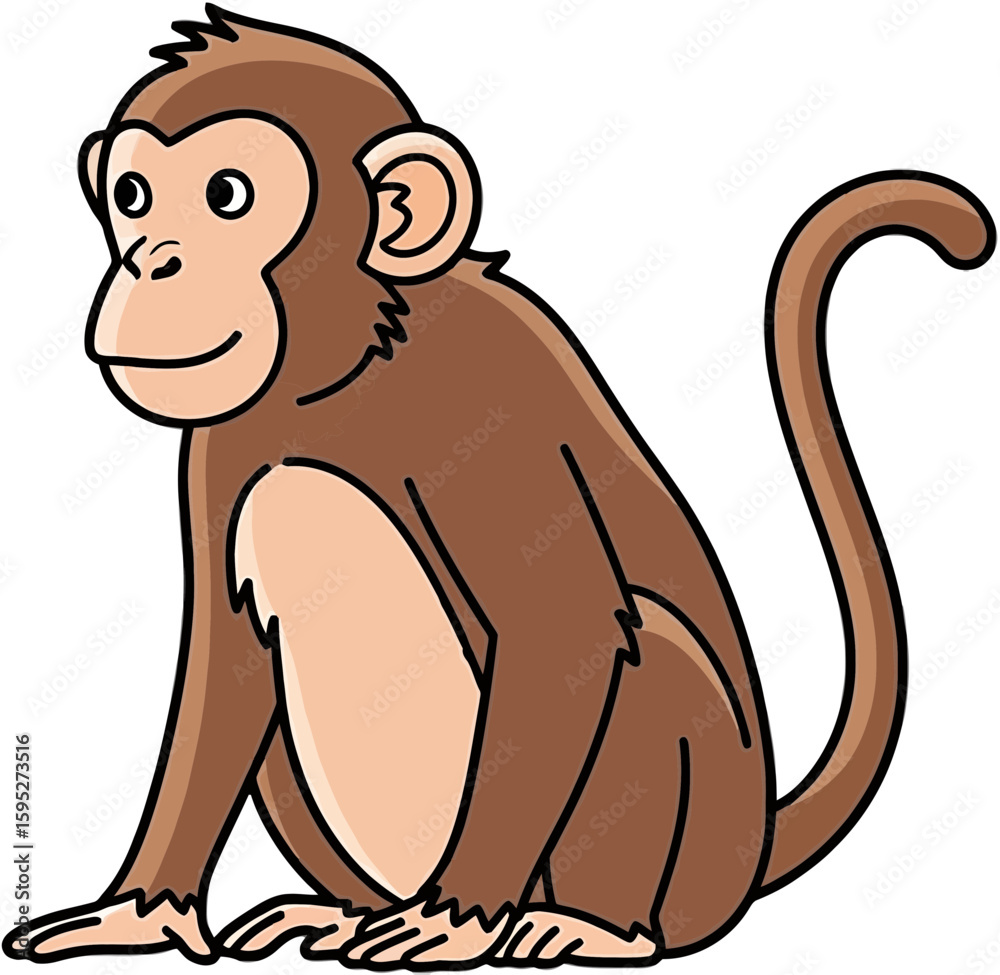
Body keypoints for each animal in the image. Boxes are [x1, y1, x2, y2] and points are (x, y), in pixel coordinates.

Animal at [2, 5, 994, 968]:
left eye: (227, 196)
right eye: (133, 199)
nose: (150, 259)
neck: (347, 372)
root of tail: (749, 852)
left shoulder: (491, 407)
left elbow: (560, 631)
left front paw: (459, 917)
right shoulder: (217, 445)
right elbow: (227, 663)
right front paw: (139, 915)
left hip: (693, 858)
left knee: (651, 653)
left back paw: (595, 924)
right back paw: (342, 910)